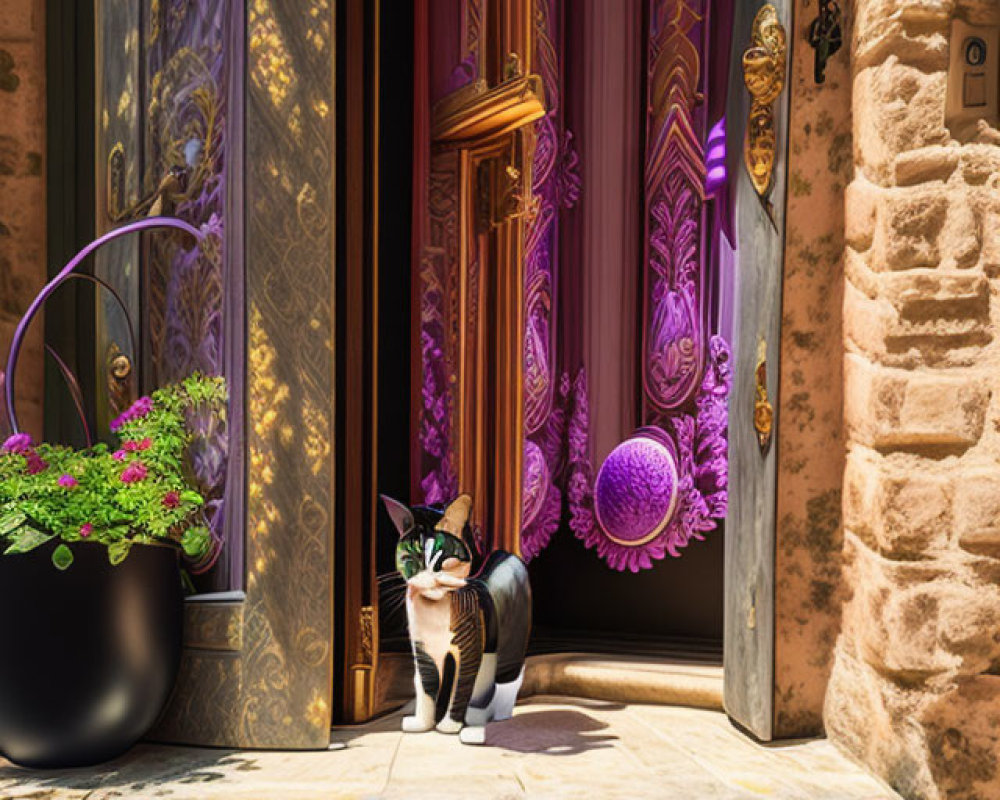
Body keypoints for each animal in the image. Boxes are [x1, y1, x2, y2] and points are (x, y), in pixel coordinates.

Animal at [380, 490, 532, 748]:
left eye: (443, 561)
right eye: (411, 558)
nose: (427, 578)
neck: (434, 611)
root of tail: (507, 554)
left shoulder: (469, 647)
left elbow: (461, 686)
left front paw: (450, 725)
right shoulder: (423, 649)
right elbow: (427, 685)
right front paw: (423, 723)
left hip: (511, 643)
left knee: (504, 682)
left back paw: (484, 722)